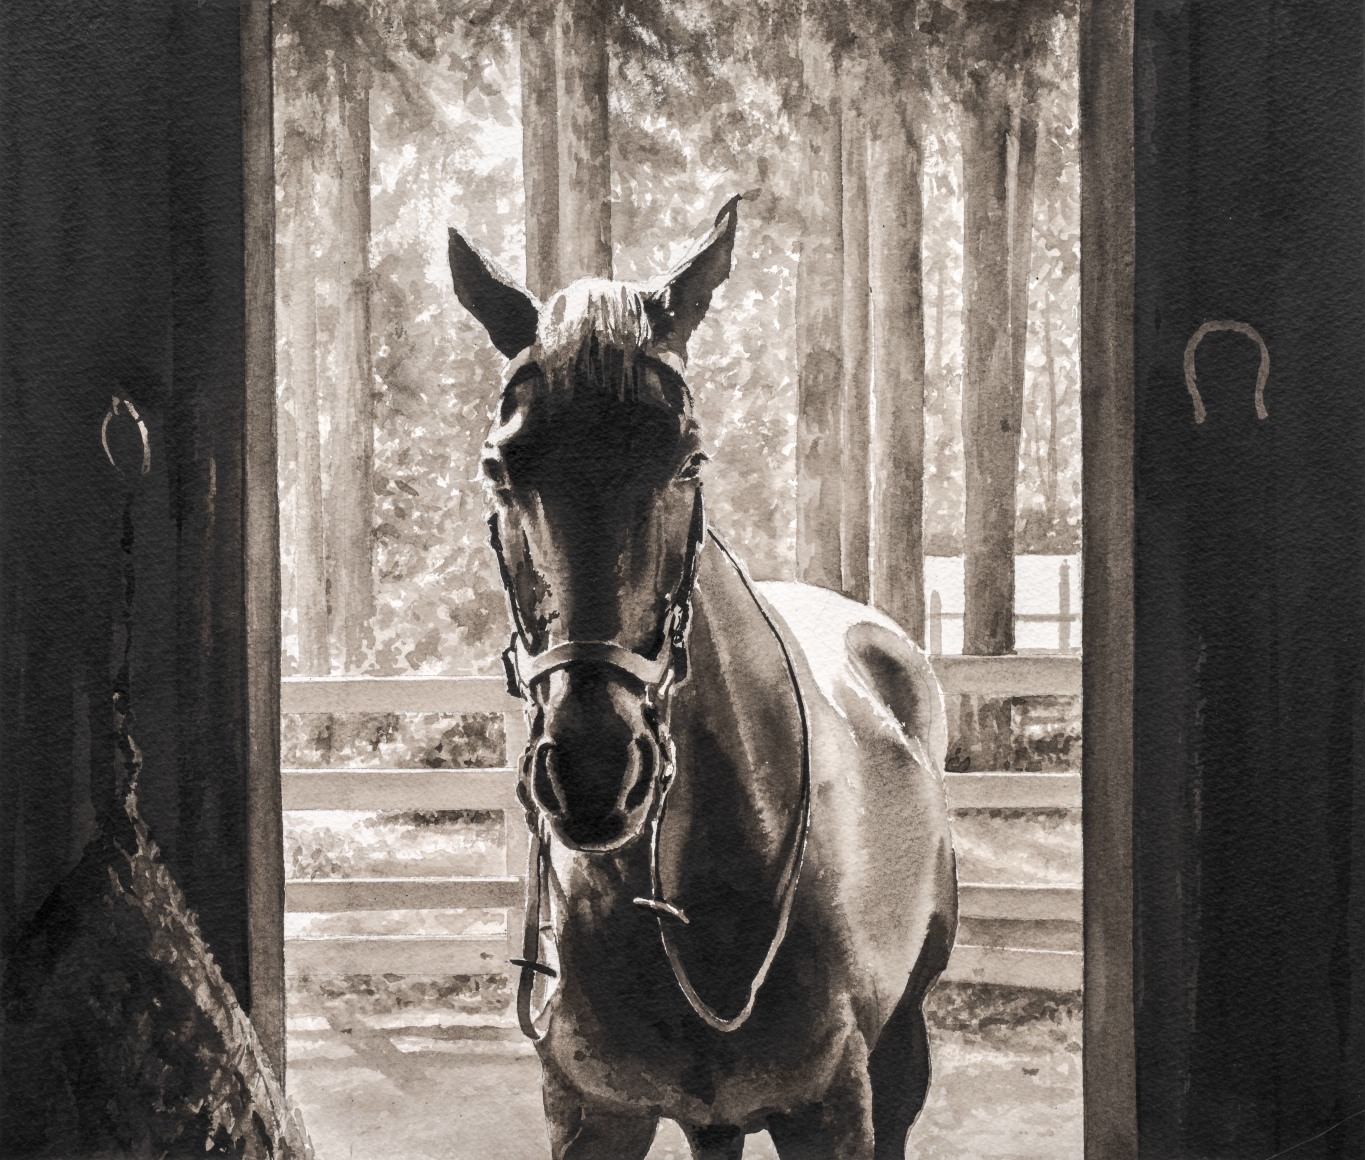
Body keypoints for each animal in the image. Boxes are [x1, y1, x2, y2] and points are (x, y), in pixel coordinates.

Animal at [446, 196, 958, 1160]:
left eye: (689, 458)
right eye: (499, 466)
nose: (595, 770)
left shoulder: (830, 1111)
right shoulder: (593, 1116)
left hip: (902, 1043)